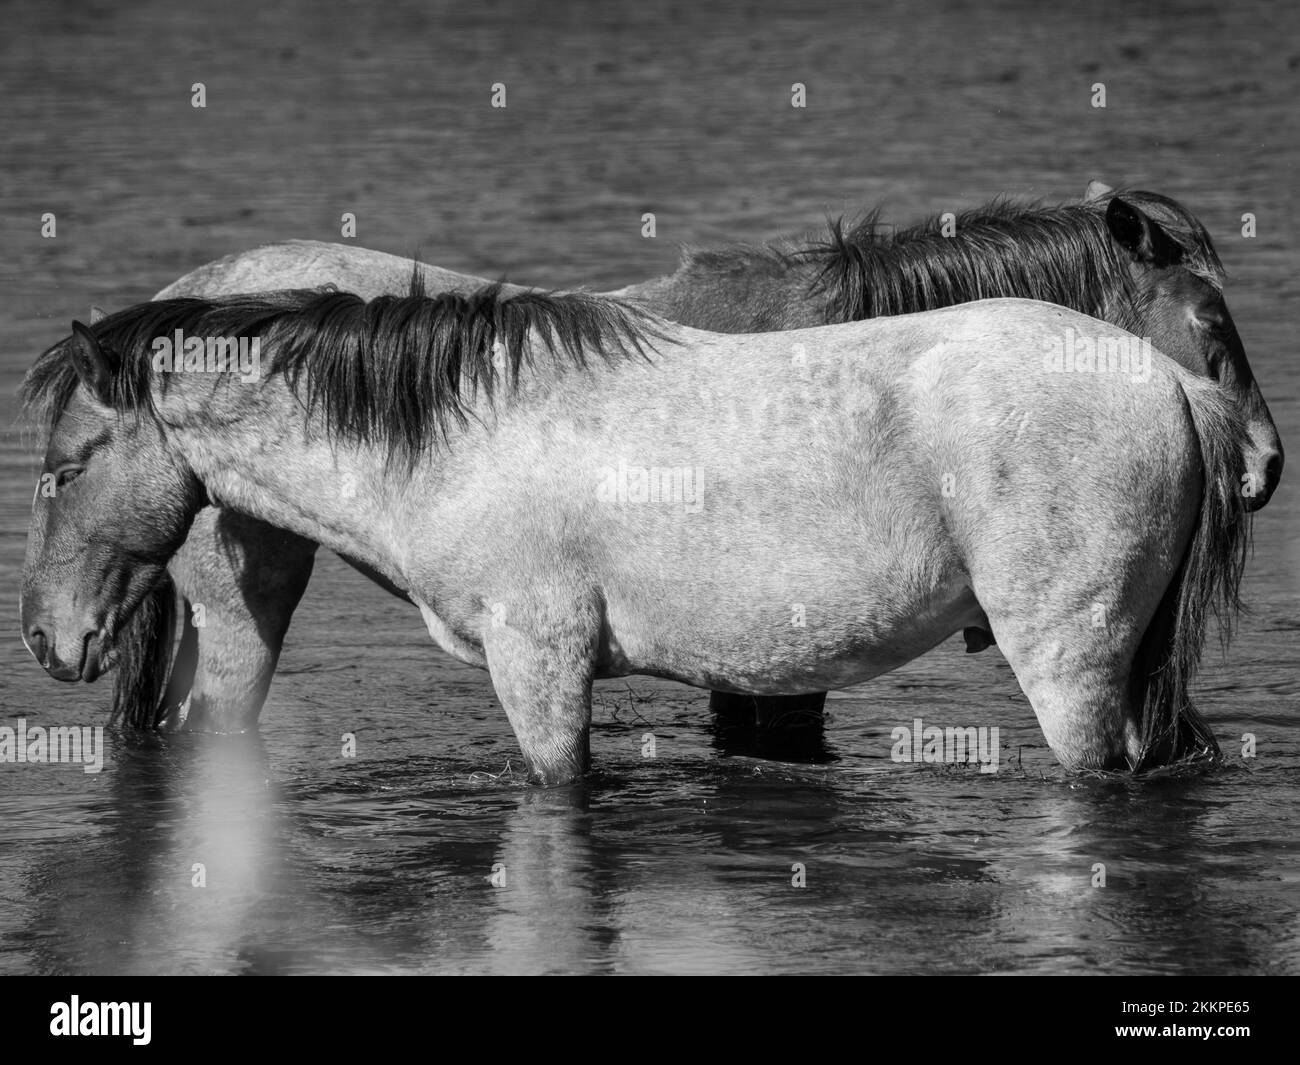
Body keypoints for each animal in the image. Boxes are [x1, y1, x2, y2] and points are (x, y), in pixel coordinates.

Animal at [21, 283, 1250, 784]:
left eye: (68, 466)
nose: (46, 638)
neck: (462, 429)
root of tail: (1171, 382)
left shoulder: (539, 666)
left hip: (1070, 668)